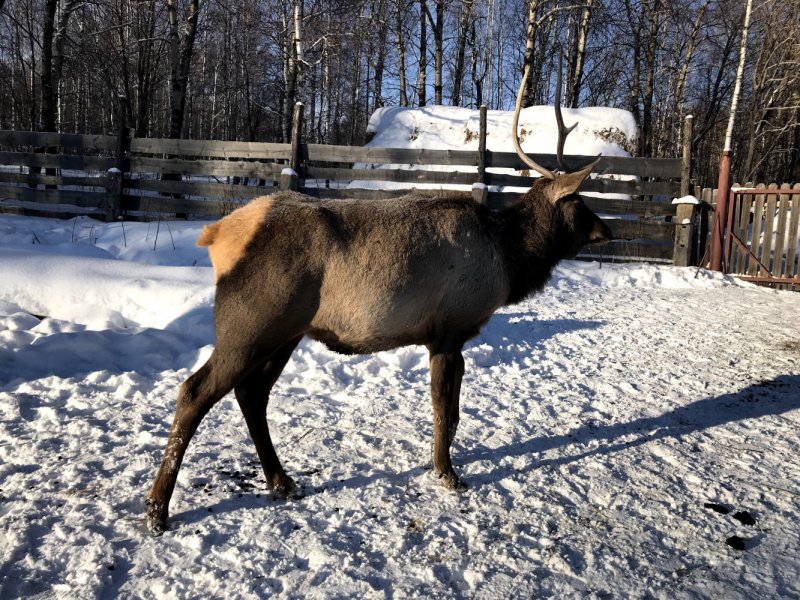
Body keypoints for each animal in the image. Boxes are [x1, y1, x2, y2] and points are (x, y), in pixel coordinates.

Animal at [145, 62, 612, 536]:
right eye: (579, 202)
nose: (606, 230)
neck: (509, 260)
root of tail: (217, 234)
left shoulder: (452, 335)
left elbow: (453, 411)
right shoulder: (449, 328)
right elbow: (443, 409)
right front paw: (447, 474)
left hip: (286, 331)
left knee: (251, 393)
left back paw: (282, 481)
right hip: (249, 322)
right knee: (194, 391)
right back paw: (157, 510)